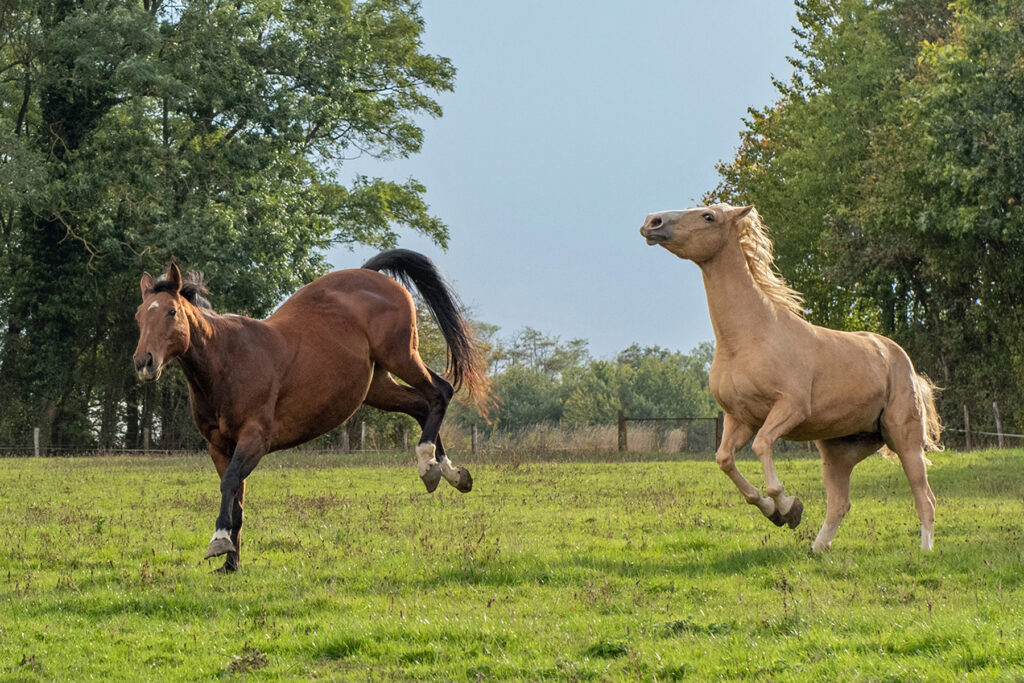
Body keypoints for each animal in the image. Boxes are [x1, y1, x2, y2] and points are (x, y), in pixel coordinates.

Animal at [133, 249, 489, 571]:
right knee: (421, 406)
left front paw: (219, 541)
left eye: (171, 312)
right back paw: (447, 471)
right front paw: (231, 563)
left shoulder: (254, 440)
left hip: (401, 355)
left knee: (440, 392)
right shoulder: (219, 447)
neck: (226, 361)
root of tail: (371, 275)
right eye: (139, 315)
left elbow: (231, 484)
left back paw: (429, 463)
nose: (144, 362)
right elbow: (237, 500)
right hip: (377, 386)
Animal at [640, 204, 941, 552]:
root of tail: (903, 362)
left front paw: (785, 507)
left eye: (708, 217)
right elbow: (725, 459)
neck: (748, 339)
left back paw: (925, 550)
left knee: (925, 498)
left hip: (905, 439)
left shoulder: (790, 408)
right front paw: (779, 512)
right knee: (840, 502)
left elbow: (763, 447)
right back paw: (817, 550)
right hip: (840, 452)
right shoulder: (740, 418)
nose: (652, 222)